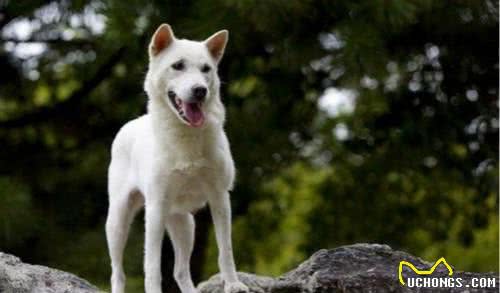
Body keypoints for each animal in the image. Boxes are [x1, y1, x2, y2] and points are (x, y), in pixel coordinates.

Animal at [105, 23, 248, 292]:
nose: (200, 91)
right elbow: (152, 265)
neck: (186, 138)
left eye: (206, 69)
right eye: (178, 65)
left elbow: (226, 251)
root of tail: (130, 124)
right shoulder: (155, 209)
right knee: (117, 272)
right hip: (118, 221)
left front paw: (233, 284)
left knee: (180, 271)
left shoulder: (220, 199)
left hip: (185, 225)